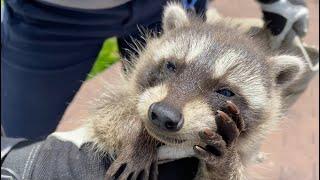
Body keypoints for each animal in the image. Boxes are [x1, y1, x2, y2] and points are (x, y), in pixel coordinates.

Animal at [83, 2, 308, 180]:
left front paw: (226, 161)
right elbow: (108, 112)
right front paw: (138, 136)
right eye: (171, 66)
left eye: (226, 92)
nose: (164, 114)